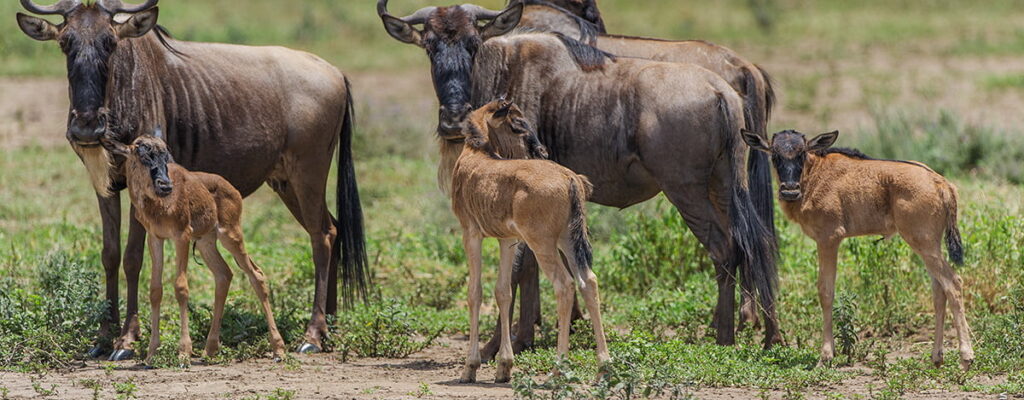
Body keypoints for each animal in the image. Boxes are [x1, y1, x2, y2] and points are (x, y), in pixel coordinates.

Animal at [101, 131, 286, 364]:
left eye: (166, 156)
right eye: (142, 154)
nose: (165, 186)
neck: (159, 204)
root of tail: (231, 188)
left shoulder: (182, 236)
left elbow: (181, 287)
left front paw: (183, 352)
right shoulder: (156, 238)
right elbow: (155, 290)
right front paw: (151, 354)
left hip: (230, 235)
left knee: (256, 275)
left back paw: (279, 349)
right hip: (206, 242)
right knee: (224, 274)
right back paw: (210, 349)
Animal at [379, 0, 780, 354]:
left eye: (473, 44)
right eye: (429, 46)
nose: (452, 121)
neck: (507, 68)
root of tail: (723, 89)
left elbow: (519, 269)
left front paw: (500, 345)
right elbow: (531, 268)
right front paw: (527, 337)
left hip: (686, 191)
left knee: (724, 249)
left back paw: (724, 337)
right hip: (725, 185)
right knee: (753, 244)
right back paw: (766, 336)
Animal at [451, 100, 608, 383]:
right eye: (517, 125)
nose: (541, 150)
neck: (476, 154)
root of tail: (570, 179)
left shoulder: (471, 234)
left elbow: (474, 292)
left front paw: (470, 367)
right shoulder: (508, 240)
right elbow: (503, 291)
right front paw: (504, 367)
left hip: (543, 243)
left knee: (565, 285)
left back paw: (558, 368)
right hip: (567, 240)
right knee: (588, 281)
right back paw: (604, 367)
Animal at [742, 129, 974, 370]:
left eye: (802, 153)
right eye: (775, 155)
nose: (789, 191)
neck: (813, 174)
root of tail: (941, 183)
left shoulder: (829, 239)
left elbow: (825, 291)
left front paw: (825, 356)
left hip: (923, 243)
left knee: (954, 283)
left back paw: (966, 357)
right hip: (928, 246)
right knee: (939, 290)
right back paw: (936, 357)